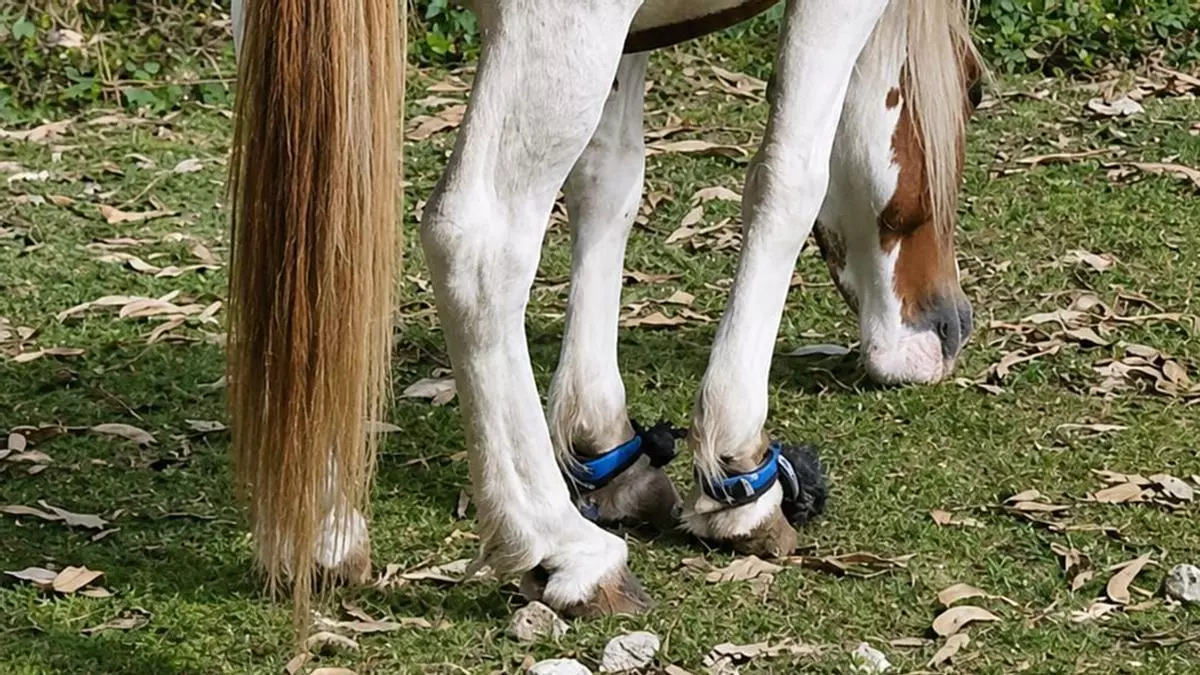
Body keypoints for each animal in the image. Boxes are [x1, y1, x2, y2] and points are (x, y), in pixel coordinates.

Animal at [227, 0, 982, 626]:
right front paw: (738, 477)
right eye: (974, 88)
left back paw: (322, 535)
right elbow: (789, 177)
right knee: (478, 244)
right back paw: (562, 549)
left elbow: (608, 179)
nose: (950, 327)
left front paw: (602, 440)